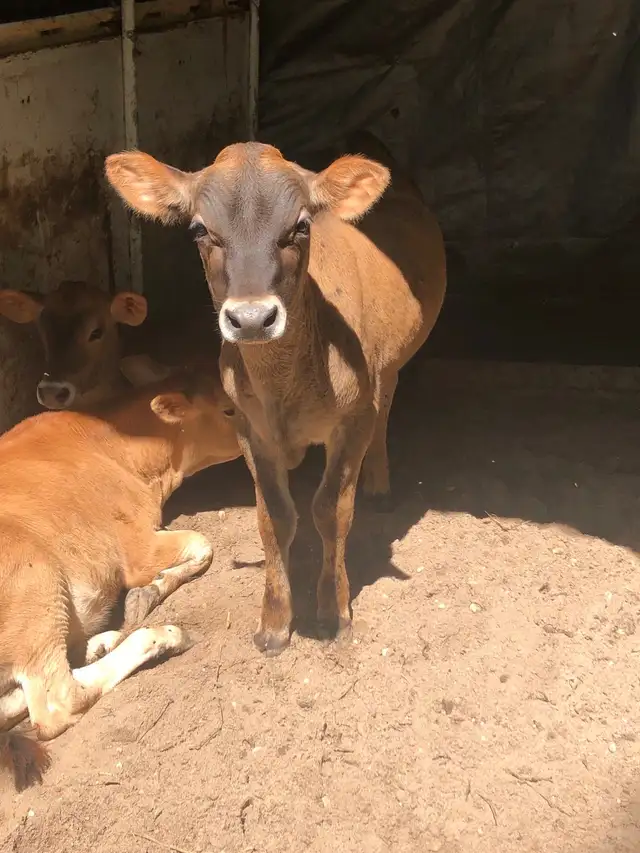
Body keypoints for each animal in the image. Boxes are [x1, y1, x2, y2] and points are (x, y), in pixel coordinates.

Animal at [0, 354, 240, 790]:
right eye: (228, 410)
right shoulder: (136, 549)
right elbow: (202, 544)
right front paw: (152, 591)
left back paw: (99, 643)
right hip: (35, 580)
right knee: (58, 703)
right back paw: (160, 637)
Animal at [105, 132, 446, 656]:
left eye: (301, 225)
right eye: (199, 229)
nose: (250, 318)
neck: (286, 386)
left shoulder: (352, 420)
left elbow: (330, 510)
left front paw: (334, 612)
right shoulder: (251, 429)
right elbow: (274, 518)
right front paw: (274, 621)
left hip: (385, 369)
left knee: (385, 408)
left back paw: (379, 483)